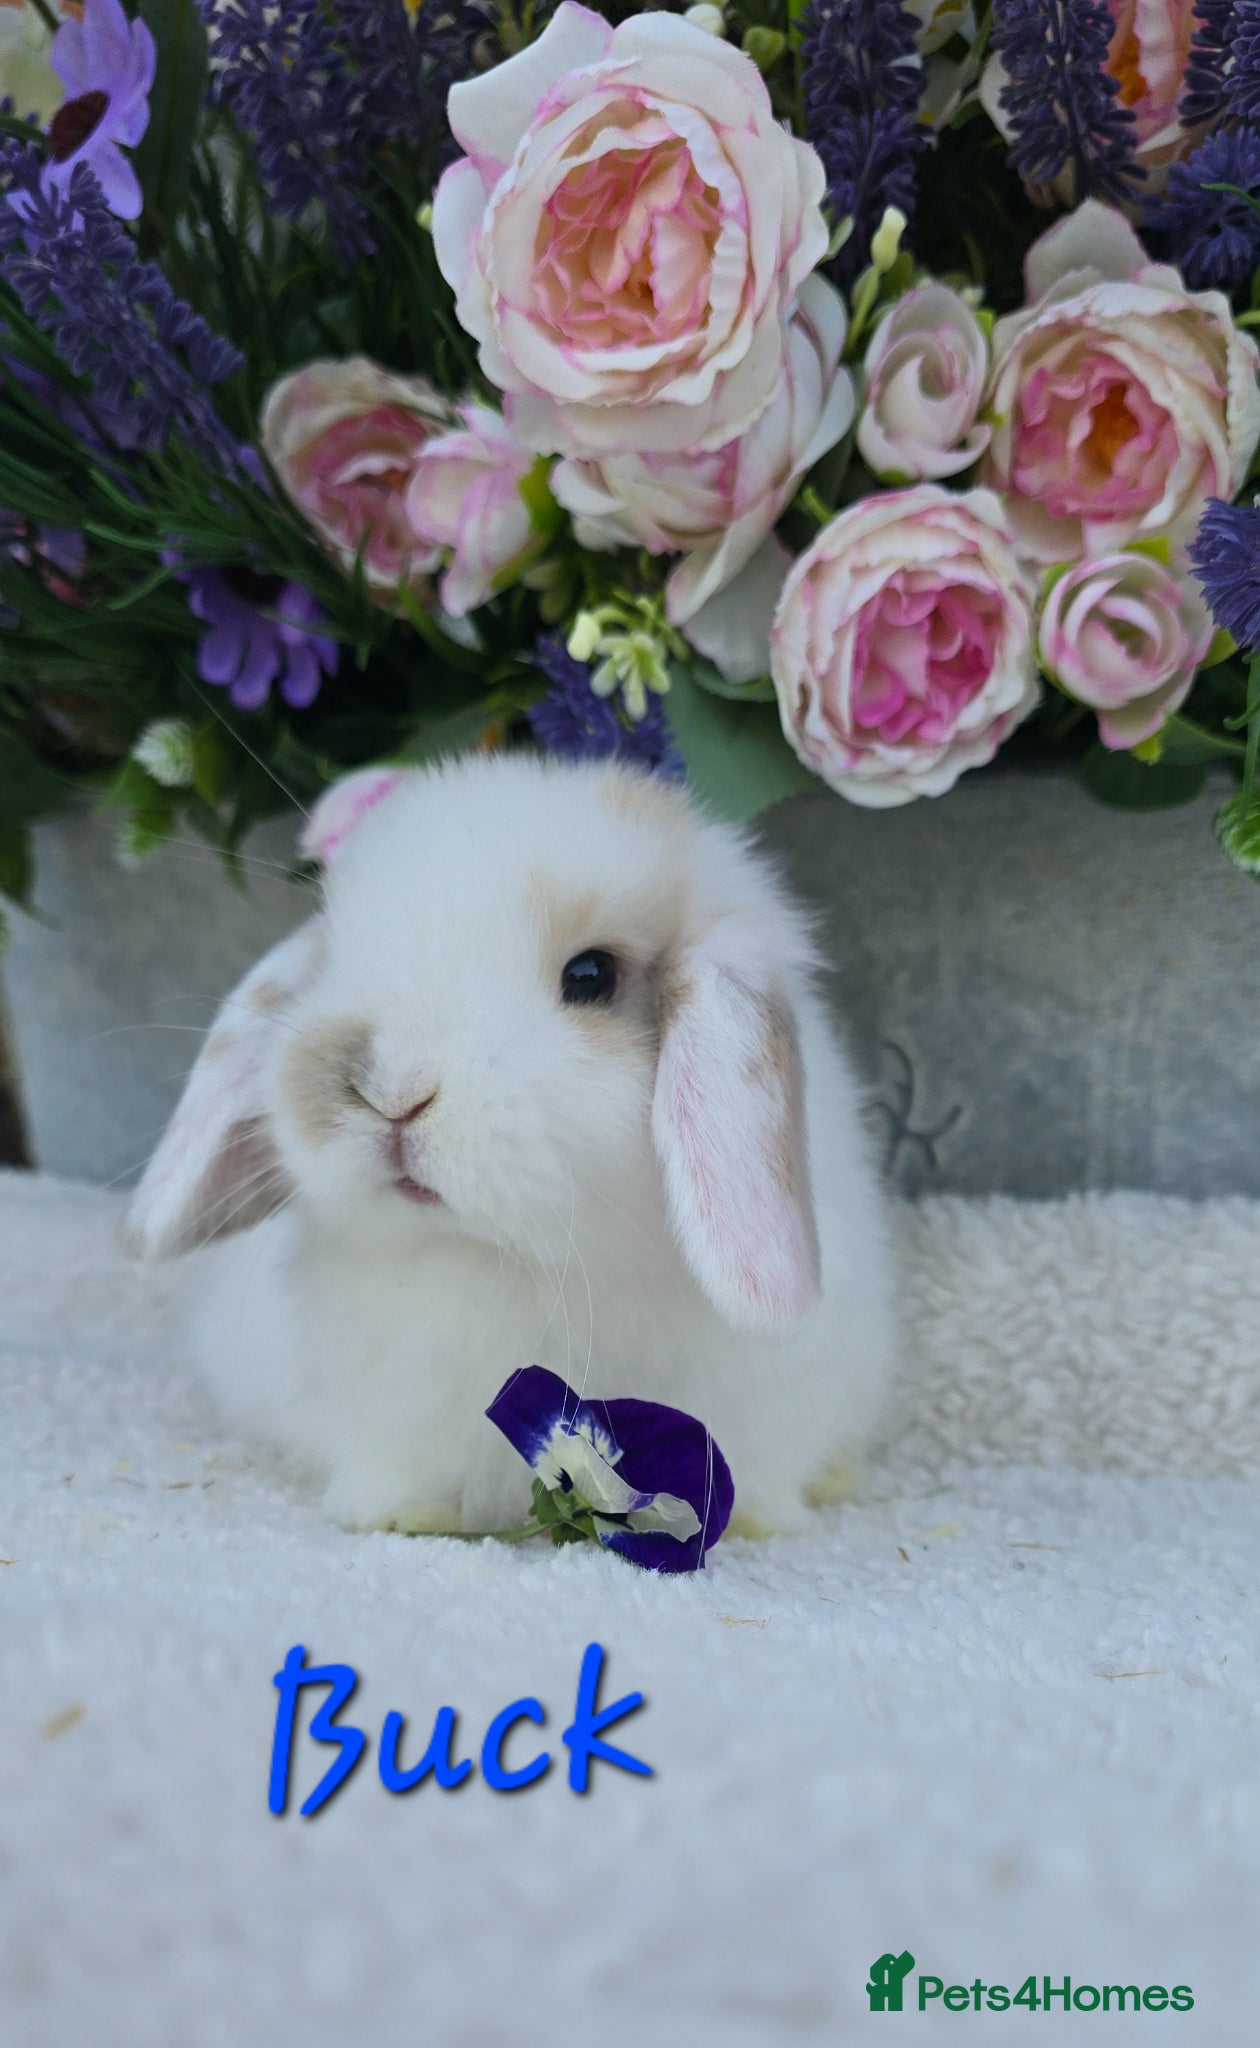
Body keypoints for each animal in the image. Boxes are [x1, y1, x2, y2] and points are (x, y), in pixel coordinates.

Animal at [126, 751, 897, 1539]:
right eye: (333, 958)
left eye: (591, 975)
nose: (389, 1088)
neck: (512, 1260)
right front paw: (397, 1516)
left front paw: (751, 1524)